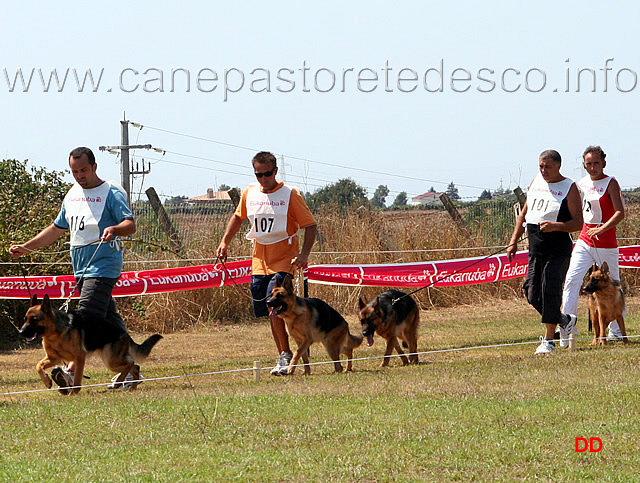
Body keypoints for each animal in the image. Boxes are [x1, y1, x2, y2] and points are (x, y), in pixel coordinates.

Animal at [20, 294, 162, 394]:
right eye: (25, 319)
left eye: (34, 319)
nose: (21, 332)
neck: (56, 333)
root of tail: (124, 333)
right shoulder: (53, 358)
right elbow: (38, 366)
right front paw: (46, 381)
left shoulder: (79, 357)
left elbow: (77, 378)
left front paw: (73, 393)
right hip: (112, 361)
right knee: (135, 366)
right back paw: (131, 387)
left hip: (111, 361)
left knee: (131, 363)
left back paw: (119, 382)